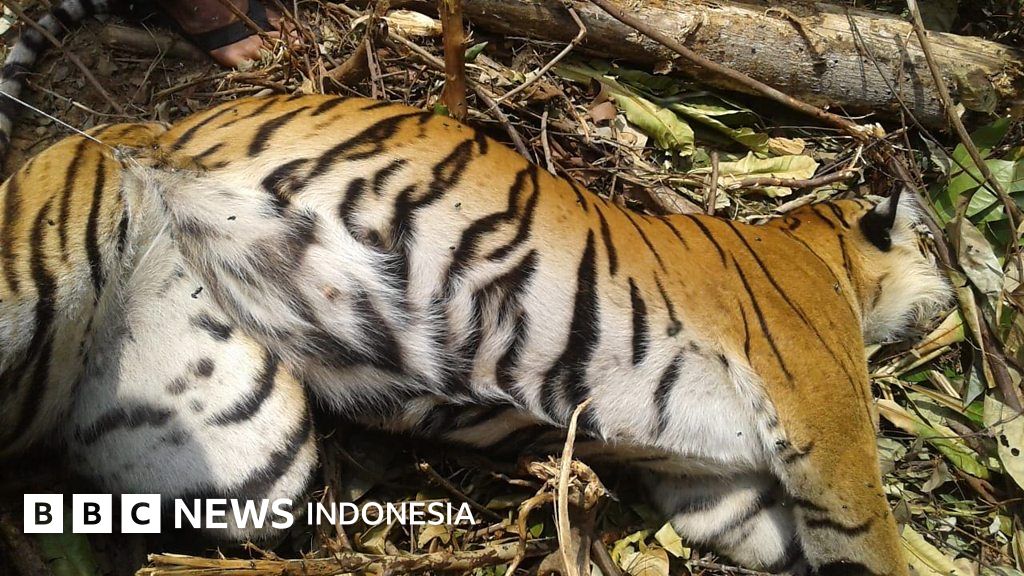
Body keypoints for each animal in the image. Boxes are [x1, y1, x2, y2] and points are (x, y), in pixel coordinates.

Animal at [0, 4, 951, 575]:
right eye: (937, 241)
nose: (955, 283)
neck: (825, 256)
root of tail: (159, 124)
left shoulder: (709, 485)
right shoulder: (821, 406)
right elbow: (865, 530)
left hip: (240, 445)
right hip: (51, 256)